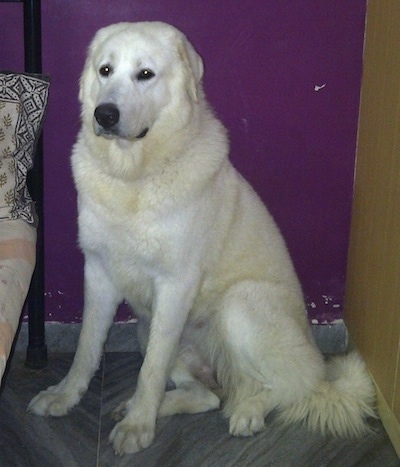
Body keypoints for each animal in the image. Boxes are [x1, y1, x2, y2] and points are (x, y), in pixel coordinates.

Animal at [28, 22, 376, 458]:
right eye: (105, 70)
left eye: (145, 74)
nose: (104, 114)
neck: (134, 177)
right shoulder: (99, 273)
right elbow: (87, 348)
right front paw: (65, 397)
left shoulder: (175, 283)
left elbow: (150, 371)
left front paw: (138, 427)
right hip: (146, 328)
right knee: (208, 395)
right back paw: (143, 405)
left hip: (239, 304)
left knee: (285, 387)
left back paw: (245, 413)